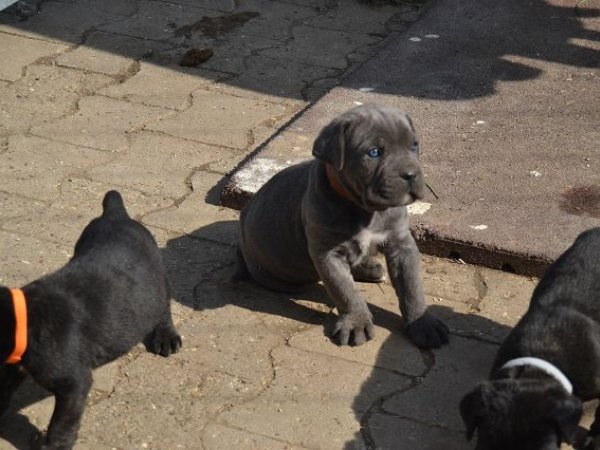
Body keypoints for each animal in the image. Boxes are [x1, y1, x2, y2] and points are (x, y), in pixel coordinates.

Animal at [0, 190, 181, 449]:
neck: (23, 321)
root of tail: (116, 214)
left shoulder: (73, 384)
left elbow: (62, 423)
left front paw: (53, 445)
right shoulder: (10, 371)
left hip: (157, 280)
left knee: (163, 307)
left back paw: (166, 337)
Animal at [235, 105, 449, 348]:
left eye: (414, 145)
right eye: (374, 152)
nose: (411, 174)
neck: (365, 210)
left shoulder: (401, 244)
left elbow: (412, 287)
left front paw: (423, 323)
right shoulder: (327, 254)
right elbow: (345, 290)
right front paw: (356, 322)